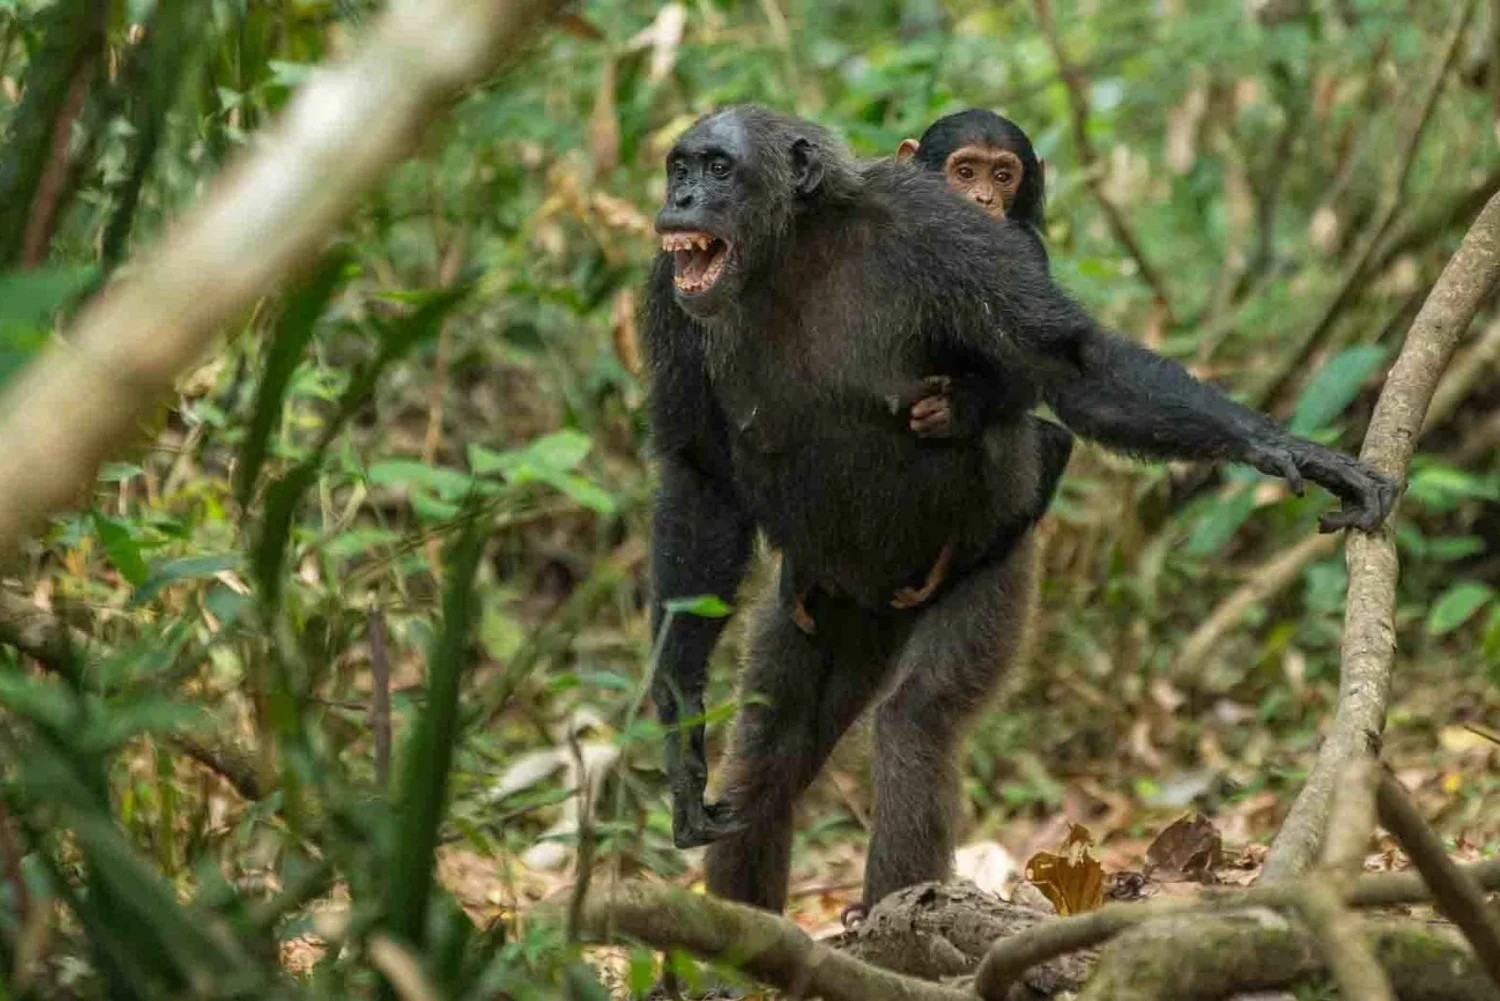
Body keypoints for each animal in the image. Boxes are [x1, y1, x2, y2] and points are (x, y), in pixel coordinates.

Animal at [641, 105, 1397, 922]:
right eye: (681, 166)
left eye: (720, 169)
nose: (683, 199)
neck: (791, 250)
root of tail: (881, 603)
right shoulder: (667, 296)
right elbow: (699, 479)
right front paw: (679, 739)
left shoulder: (947, 239)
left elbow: (1073, 362)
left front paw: (1286, 446)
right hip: (821, 607)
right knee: (770, 747)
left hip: (988, 568)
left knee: (917, 720)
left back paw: (898, 917)